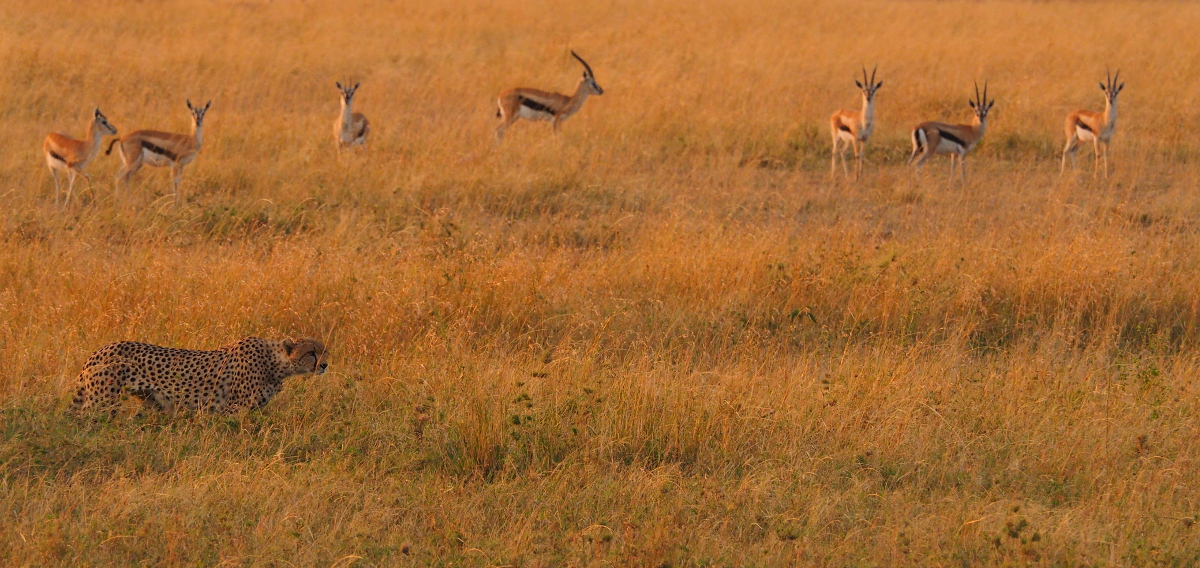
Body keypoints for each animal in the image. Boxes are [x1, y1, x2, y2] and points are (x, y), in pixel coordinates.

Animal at [74, 333, 328, 413]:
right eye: (311, 353)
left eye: (325, 351)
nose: (324, 365)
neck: (275, 363)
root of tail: (100, 349)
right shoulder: (234, 409)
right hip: (101, 402)